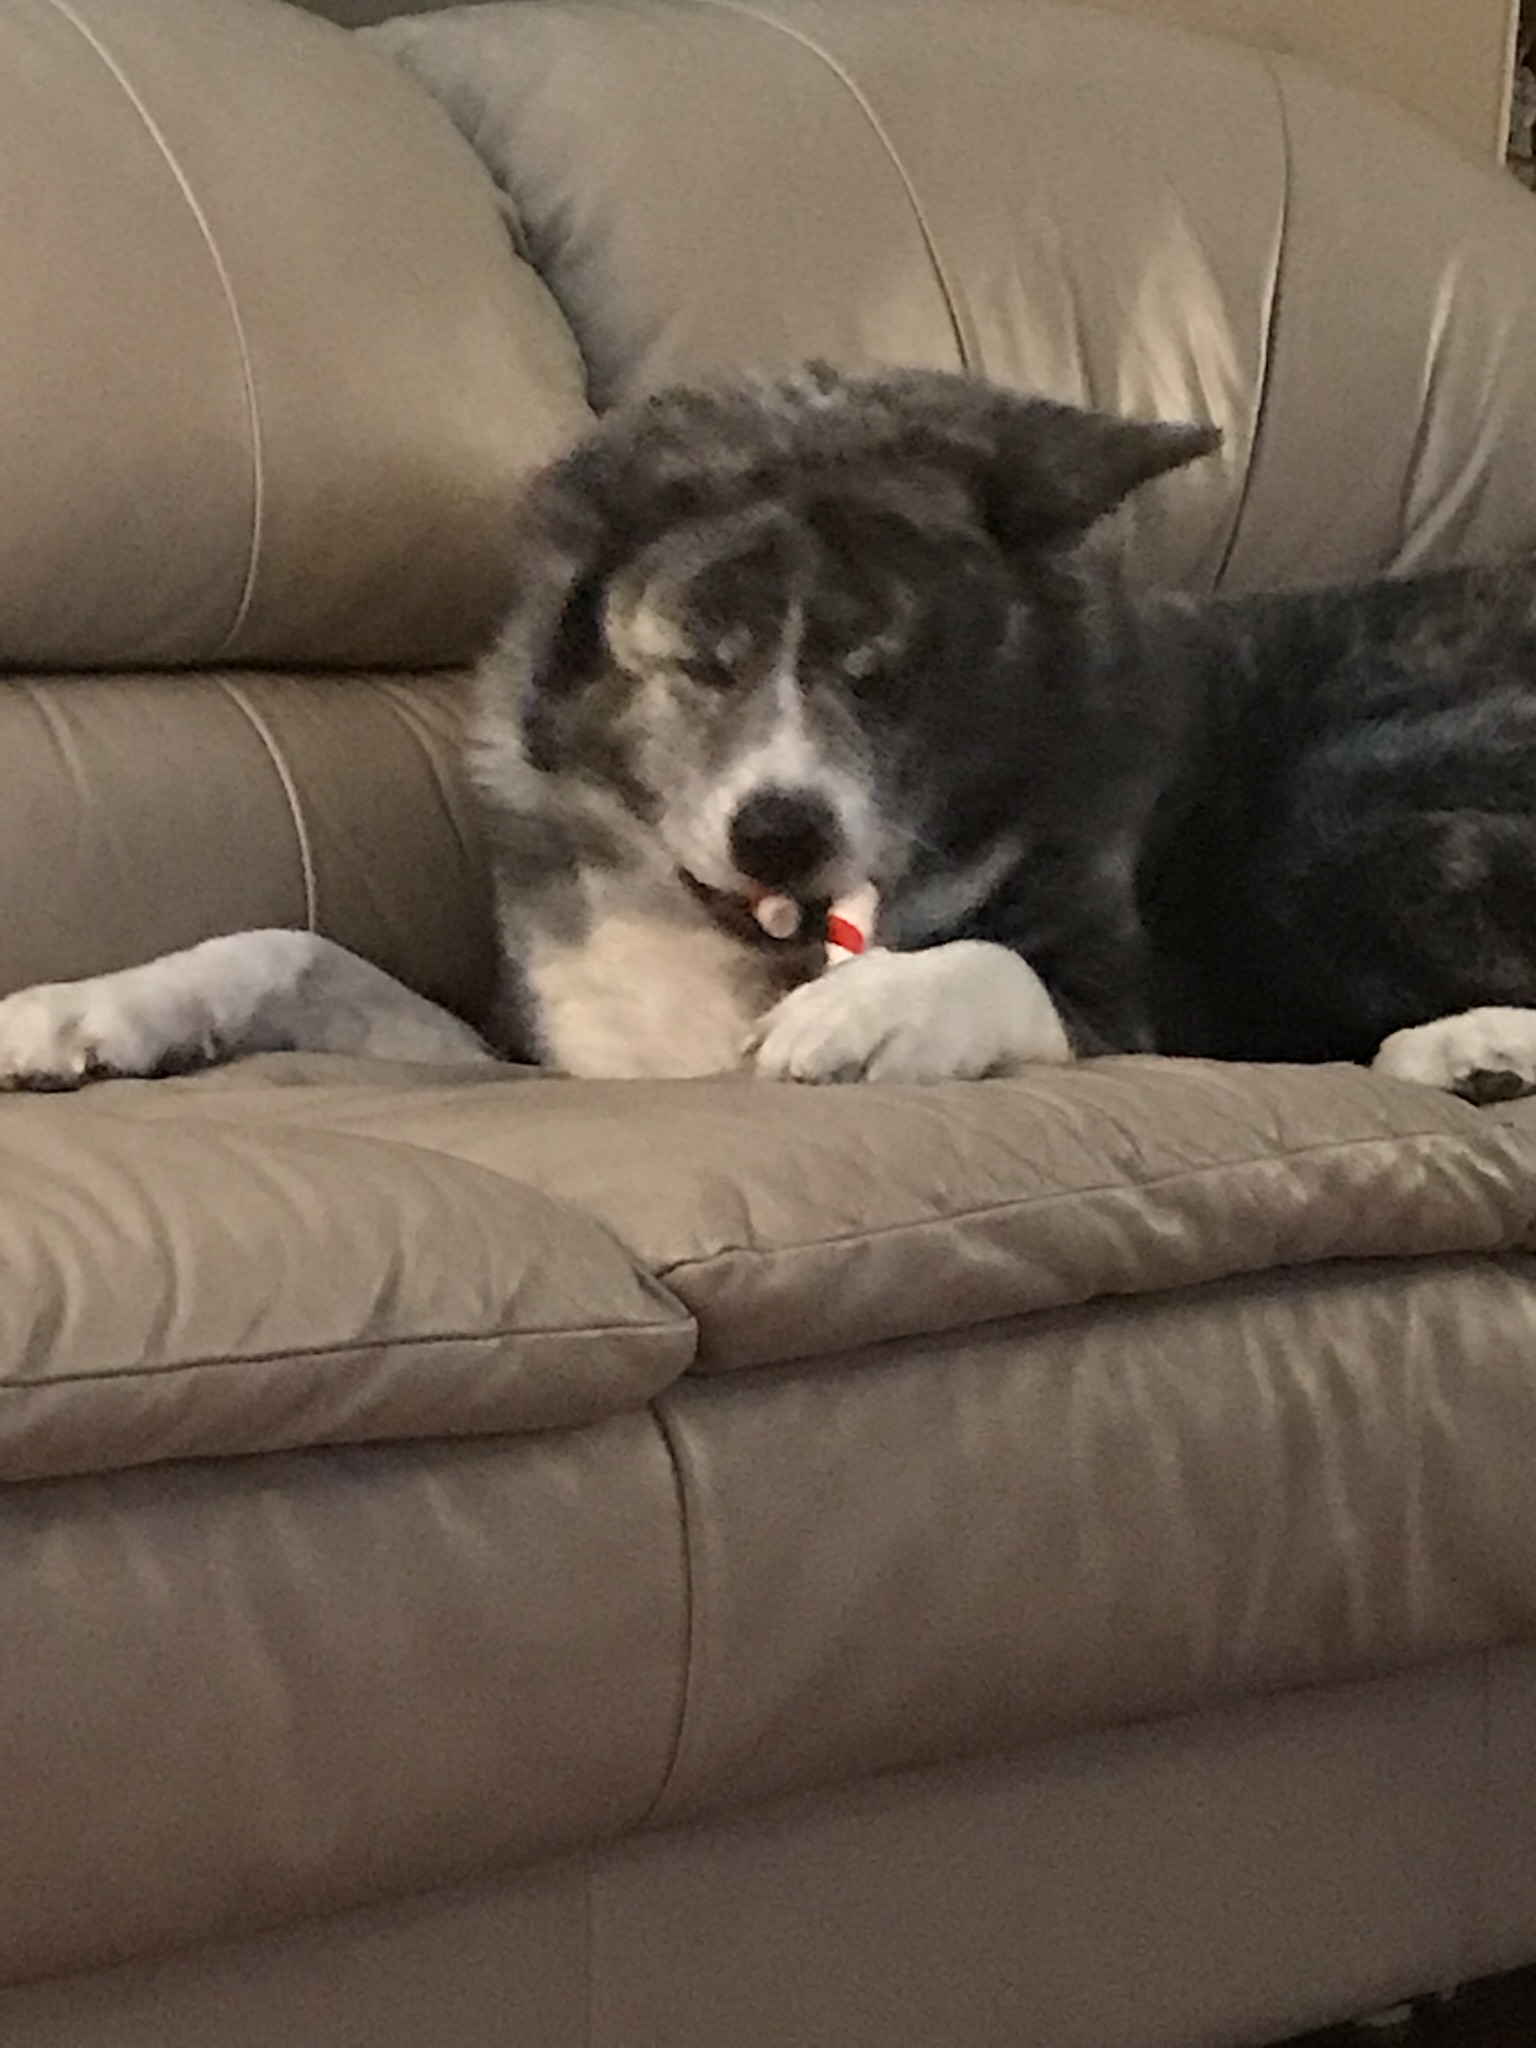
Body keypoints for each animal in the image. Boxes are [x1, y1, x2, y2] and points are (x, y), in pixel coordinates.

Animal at [4, 361, 1536, 1101]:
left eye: (888, 675)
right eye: (701, 660)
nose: (782, 831)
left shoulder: (1146, 1016)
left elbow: (999, 963)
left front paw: (873, 1009)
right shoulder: (565, 1065)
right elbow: (297, 948)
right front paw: (93, 1009)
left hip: (1343, 817)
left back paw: (1469, 1050)